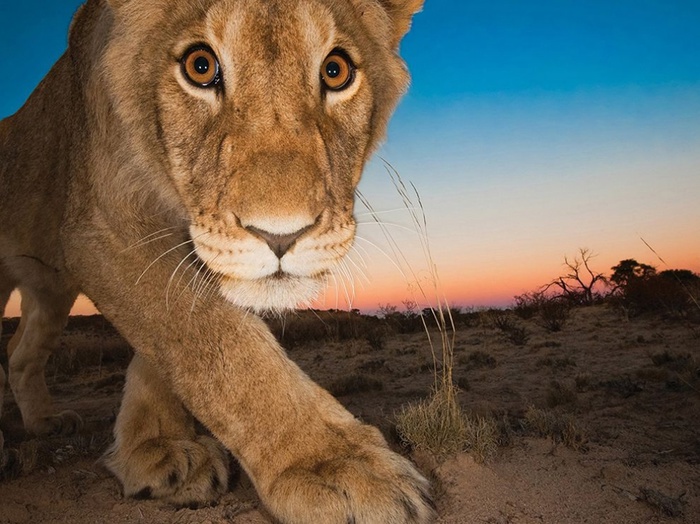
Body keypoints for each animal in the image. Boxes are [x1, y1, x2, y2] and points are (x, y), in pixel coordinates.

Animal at [0, 0, 432, 520]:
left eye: (336, 70)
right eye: (200, 67)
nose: (281, 235)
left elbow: (177, 344)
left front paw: (155, 449)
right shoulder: (102, 226)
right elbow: (215, 344)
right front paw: (334, 467)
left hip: (50, 291)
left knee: (21, 350)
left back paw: (46, 422)